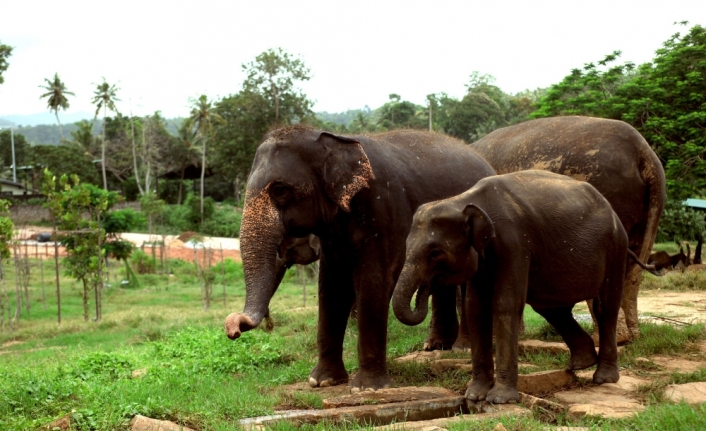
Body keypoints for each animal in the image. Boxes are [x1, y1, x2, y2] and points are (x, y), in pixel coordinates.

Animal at [223, 125, 492, 392]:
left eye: (280, 190)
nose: (233, 326)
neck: (331, 140)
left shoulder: (384, 211)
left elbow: (373, 280)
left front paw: (367, 388)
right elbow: (332, 287)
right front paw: (322, 381)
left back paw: (462, 348)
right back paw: (436, 346)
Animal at [390, 171, 656, 404]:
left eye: (435, 252)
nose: (424, 290)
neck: (464, 200)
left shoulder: (514, 243)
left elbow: (505, 304)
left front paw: (500, 399)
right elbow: (476, 308)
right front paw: (474, 396)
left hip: (615, 248)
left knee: (604, 307)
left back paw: (603, 378)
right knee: (551, 309)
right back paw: (580, 364)